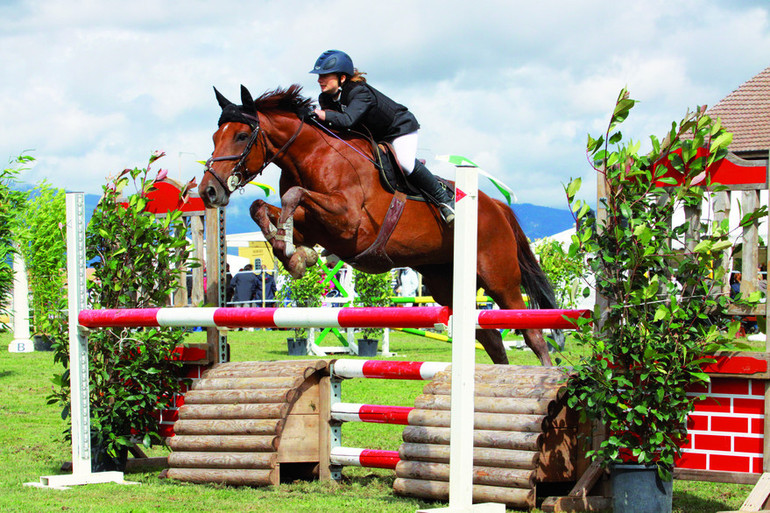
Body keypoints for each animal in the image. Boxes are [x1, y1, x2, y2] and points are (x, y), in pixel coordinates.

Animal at [198, 84, 560, 364]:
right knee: (491, 340)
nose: (208, 191)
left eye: (242, 135)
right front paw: (294, 252)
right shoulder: (316, 227)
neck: (311, 155)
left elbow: (293, 196)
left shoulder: (349, 223)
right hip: (448, 284)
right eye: (215, 136)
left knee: (531, 332)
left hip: (499, 278)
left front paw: (294, 252)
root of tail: (496, 206)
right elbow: (261, 207)